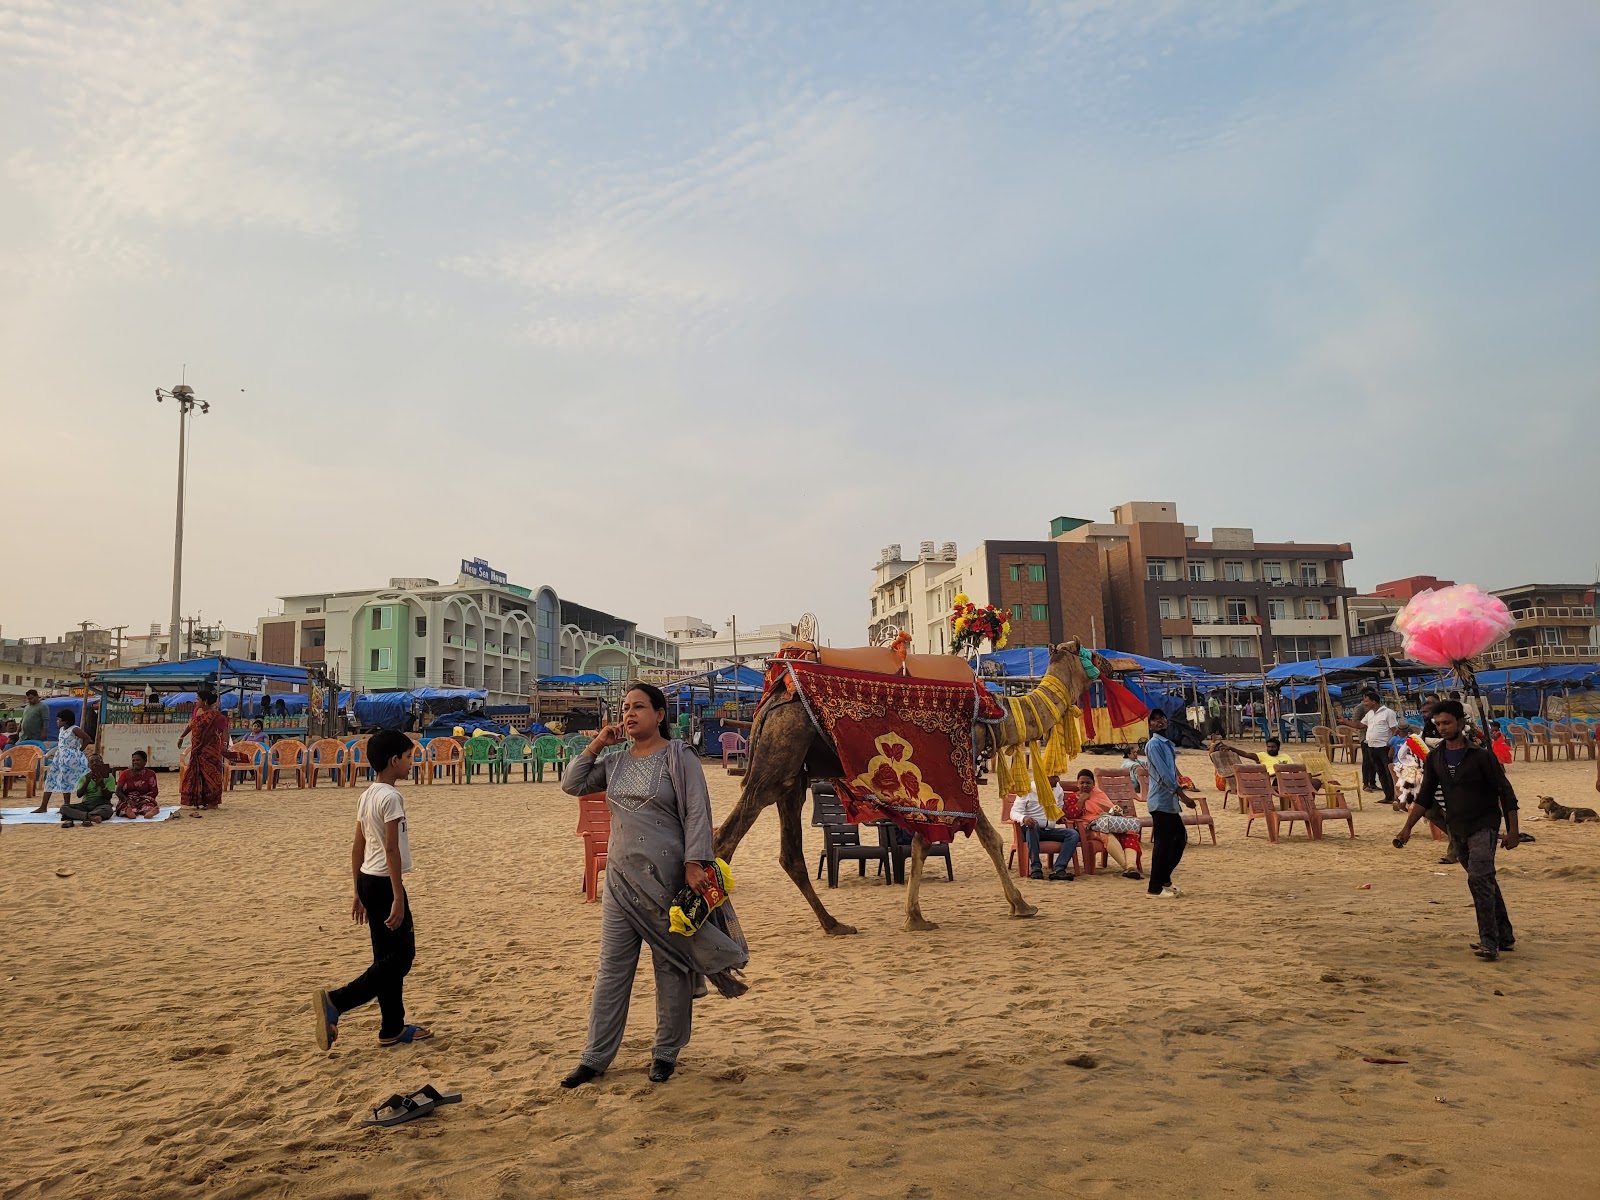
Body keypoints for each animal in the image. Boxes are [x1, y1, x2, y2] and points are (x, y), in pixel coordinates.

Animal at [713, 643, 1100, 934]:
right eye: (1093, 655)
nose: (1111, 664)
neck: (995, 717)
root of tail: (773, 696)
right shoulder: (956, 775)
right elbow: (975, 838)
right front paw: (1020, 905)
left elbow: (933, 841)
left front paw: (917, 915)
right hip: (778, 757)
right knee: (725, 839)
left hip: (793, 775)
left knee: (789, 853)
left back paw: (835, 925)